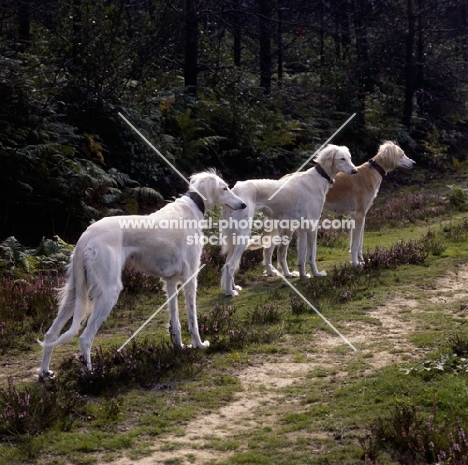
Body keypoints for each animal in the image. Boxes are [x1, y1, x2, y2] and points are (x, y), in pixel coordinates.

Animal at [38, 169, 247, 378]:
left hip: (75, 292)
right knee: (84, 338)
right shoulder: (190, 278)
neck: (191, 208)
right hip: (109, 291)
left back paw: (45, 373)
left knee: (50, 334)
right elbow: (192, 319)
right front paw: (199, 345)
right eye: (225, 188)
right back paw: (92, 377)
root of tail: (86, 236)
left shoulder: (170, 282)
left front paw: (179, 347)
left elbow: (175, 322)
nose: (243, 204)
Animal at [221, 143, 356, 296]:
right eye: (342, 159)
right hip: (244, 235)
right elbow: (311, 256)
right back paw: (229, 292)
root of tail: (234, 190)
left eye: (349, 158)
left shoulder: (302, 228)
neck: (318, 178)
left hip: (238, 236)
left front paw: (303, 276)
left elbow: (301, 257)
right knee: (230, 265)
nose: (355, 171)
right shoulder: (312, 226)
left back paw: (233, 287)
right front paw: (316, 274)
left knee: (228, 264)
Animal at [258, 140, 414, 274]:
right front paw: (356, 264)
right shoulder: (359, 215)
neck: (370, 172)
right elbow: (355, 244)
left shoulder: (360, 215)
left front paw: (363, 260)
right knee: (272, 249)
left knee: (268, 248)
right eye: (402, 154)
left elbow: (359, 242)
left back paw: (270, 271)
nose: (414, 162)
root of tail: (281, 179)